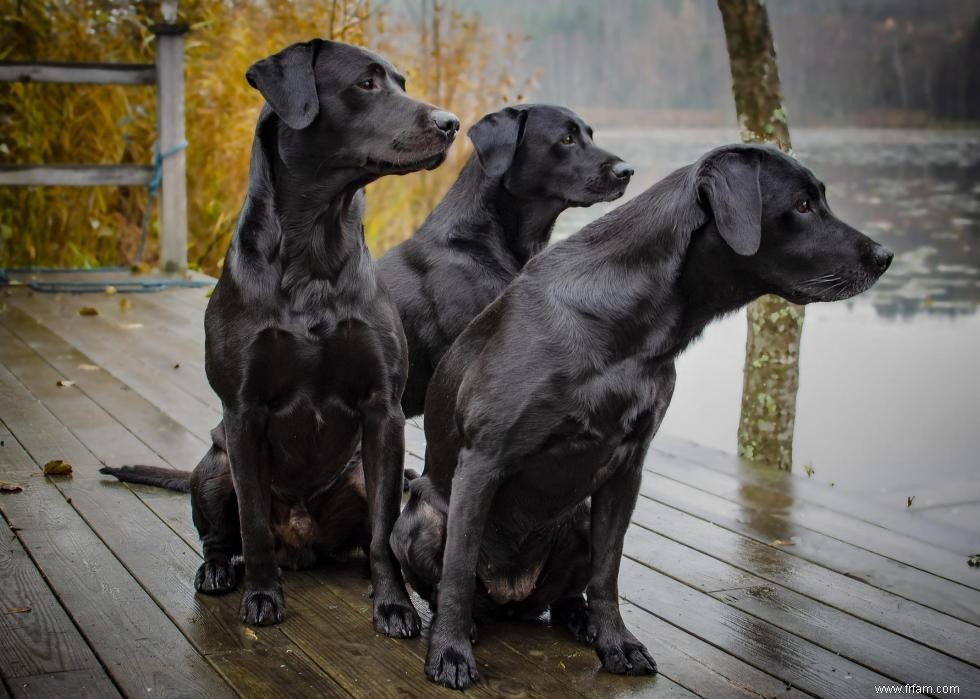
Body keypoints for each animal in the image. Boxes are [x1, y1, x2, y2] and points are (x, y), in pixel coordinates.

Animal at [392, 144, 896, 688]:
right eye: (803, 205)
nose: (885, 257)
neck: (633, 329)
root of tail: (511, 597)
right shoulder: (483, 461)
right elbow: (458, 570)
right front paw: (450, 652)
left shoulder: (626, 468)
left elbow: (607, 574)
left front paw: (617, 644)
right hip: (421, 520)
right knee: (449, 581)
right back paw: (467, 626)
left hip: (577, 518)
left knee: (567, 593)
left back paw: (579, 619)